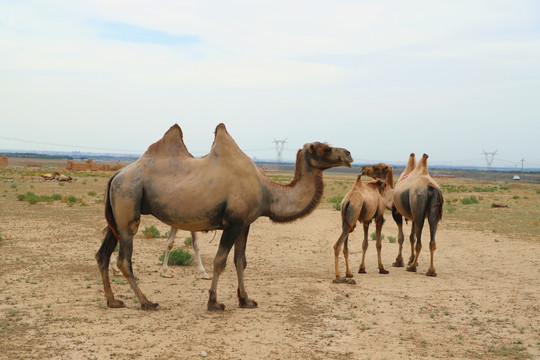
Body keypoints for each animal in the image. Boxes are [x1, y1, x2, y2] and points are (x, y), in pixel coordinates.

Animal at [95, 123, 352, 310]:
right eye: (326, 148)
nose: (349, 154)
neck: (267, 191)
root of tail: (117, 174)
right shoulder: (233, 223)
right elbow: (220, 261)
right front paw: (214, 302)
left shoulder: (245, 224)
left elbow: (241, 261)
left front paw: (246, 300)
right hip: (128, 204)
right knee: (123, 259)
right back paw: (146, 302)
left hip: (117, 213)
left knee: (102, 254)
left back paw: (113, 300)